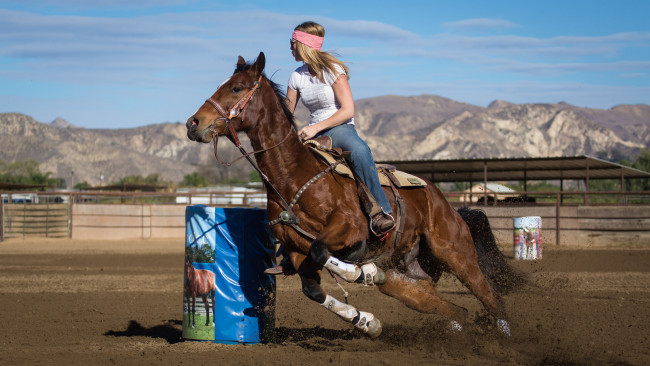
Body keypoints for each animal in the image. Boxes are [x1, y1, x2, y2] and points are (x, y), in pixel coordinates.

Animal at [185, 53, 524, 338]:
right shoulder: (295, 251)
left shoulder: (349, 228)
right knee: (436, 300)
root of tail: (443, 201)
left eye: (236, 88)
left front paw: (367, 273)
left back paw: (505, 334)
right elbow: (314, 287)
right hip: (412, 266)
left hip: (455, 253)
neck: (294, 176)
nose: (193, 123)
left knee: (488, 293)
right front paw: (368, 321)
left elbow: (323, 251)